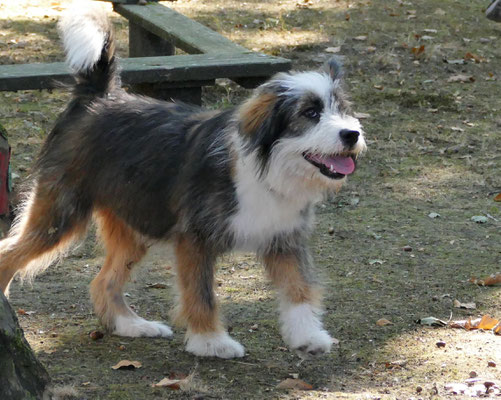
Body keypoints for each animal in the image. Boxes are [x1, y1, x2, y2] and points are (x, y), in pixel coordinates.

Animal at [0, 3, 366, 360]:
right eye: (310, 113)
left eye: (341, 110)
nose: (352, 134)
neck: (267, 166)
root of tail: (98, 96)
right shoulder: (194, 240)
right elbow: (201, 294)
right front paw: (211, 341)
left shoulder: (284, 239)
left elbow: (299, 289)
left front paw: (308, 335)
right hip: (60, 215)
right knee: (9, 253)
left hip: (135, 223)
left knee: (103, 282)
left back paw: (133, 325)